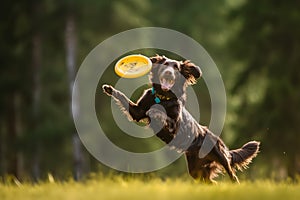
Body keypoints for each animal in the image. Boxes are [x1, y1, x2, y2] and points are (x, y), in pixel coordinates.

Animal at [102, 54, 258, 183]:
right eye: (165, 65)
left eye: (176, 68)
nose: (168, 72)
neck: (162, 97)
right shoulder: (138, 112)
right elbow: (124, 99)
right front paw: (109, 89)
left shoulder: (174, 126)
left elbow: (162, 115)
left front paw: (155, 112)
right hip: (196, 171)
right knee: (210, 182)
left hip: (220, 156)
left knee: (233, 175)